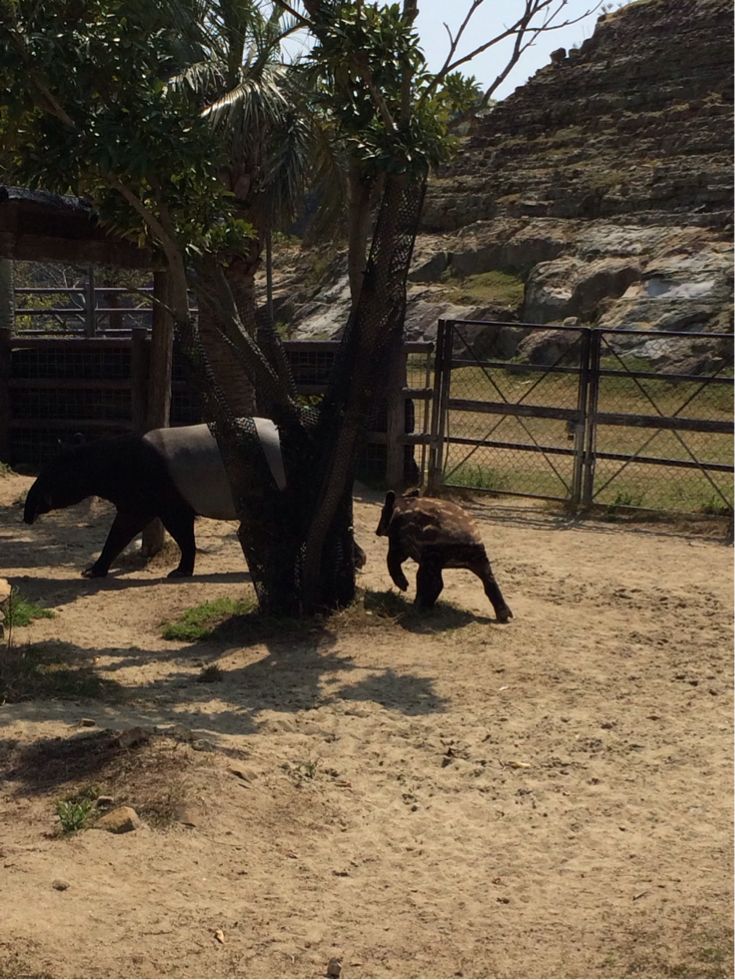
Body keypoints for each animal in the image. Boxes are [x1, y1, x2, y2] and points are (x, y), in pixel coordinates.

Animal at [23, 420, 287, 579]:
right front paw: (93, 570)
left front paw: (180, 572)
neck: (111, 463)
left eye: (51, 475)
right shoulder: (137, 502)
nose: (27, 514)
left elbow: (183, 535)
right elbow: (118, 535)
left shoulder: (167, 497)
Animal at [375, 489, 512, 622]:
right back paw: (504, 616)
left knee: (430, 580)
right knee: (488, 579)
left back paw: (418, 606)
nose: (376, 531)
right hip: (475, 560)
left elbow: (392, 560)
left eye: (382, 511)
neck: (399, 507)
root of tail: (472, 542)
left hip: (432, 556)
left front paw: (404, 586)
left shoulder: (398, 541)